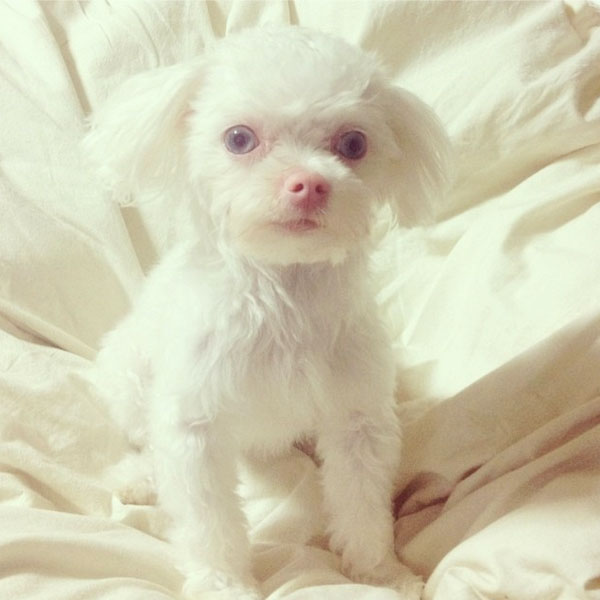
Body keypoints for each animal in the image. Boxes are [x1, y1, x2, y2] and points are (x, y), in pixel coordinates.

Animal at [85, 24, 450, 600]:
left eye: (353, 144)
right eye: (239, 138)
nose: (309, 182)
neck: (283, 296)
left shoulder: (358, 419)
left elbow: (362, 503)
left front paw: (379, 572)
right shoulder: (194, 426)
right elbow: (208, 519)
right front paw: (222, 583)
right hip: (128, 375)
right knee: (145, 440)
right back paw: (139, 477)